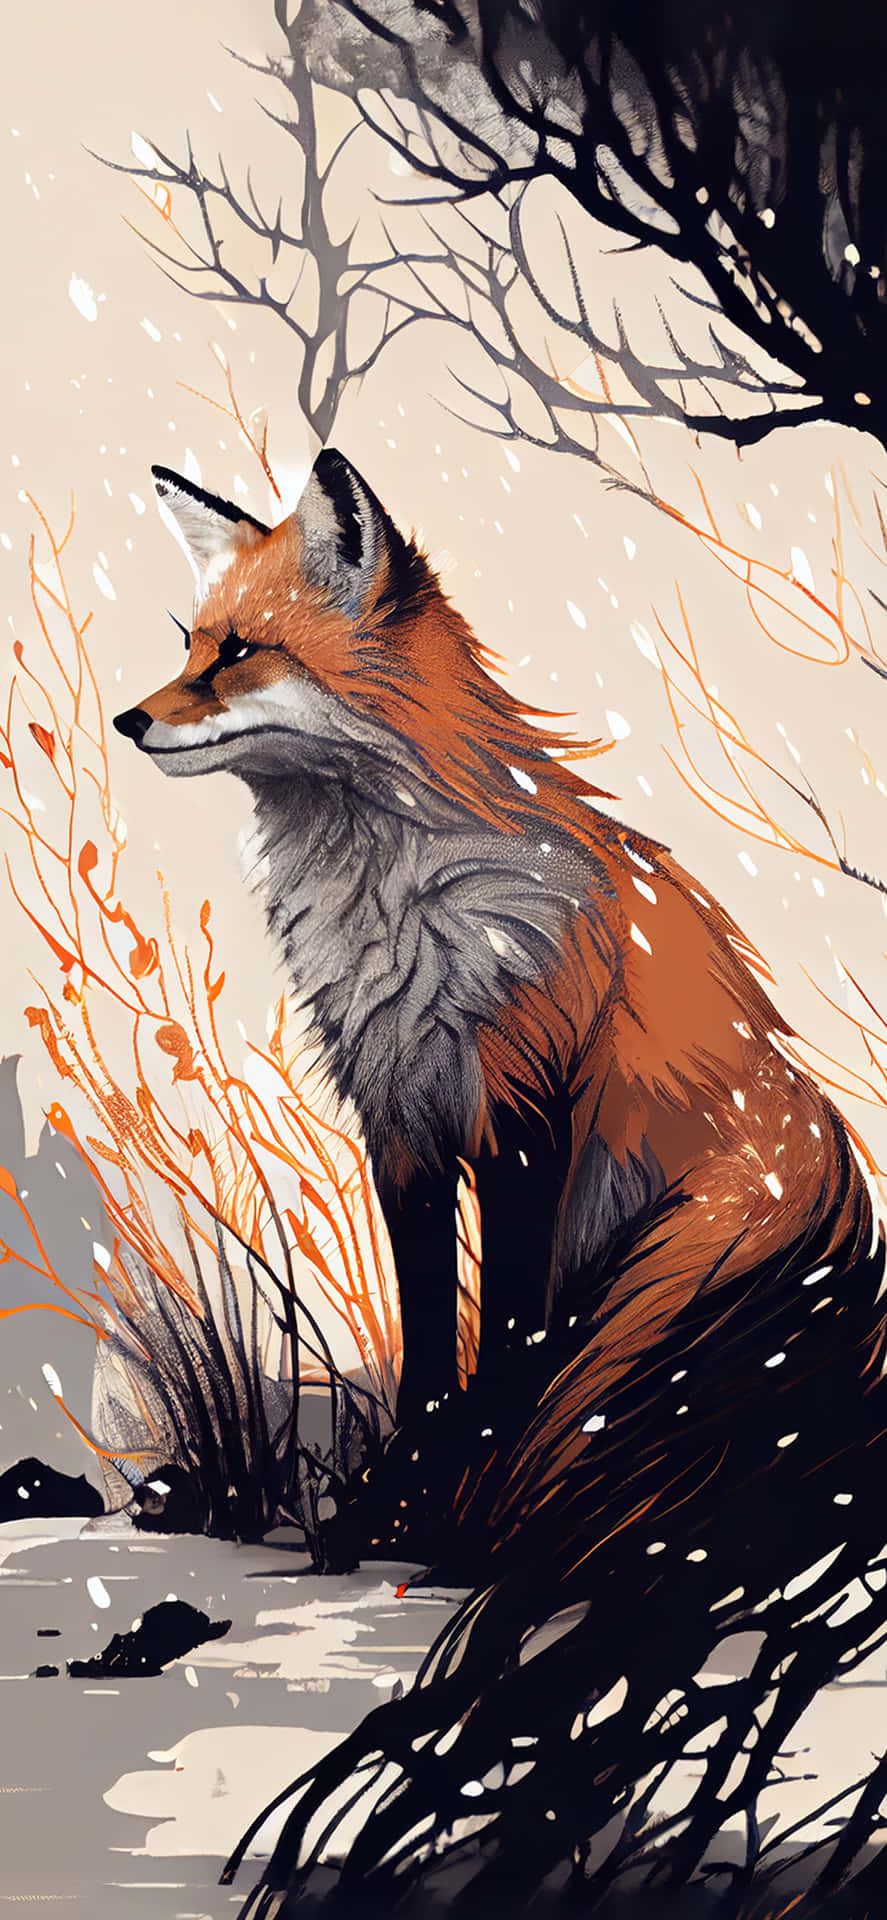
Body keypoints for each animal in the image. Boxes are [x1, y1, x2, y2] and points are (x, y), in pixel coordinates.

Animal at [114, 447, 882, 1465]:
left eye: (238, 653)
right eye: (190, 649)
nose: (126, 721)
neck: (398, 900)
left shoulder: (524, 1104)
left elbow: (514, 1318)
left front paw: (478, 1443)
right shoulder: (400, 1112)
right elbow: (430, 1316)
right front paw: (413, 1453)